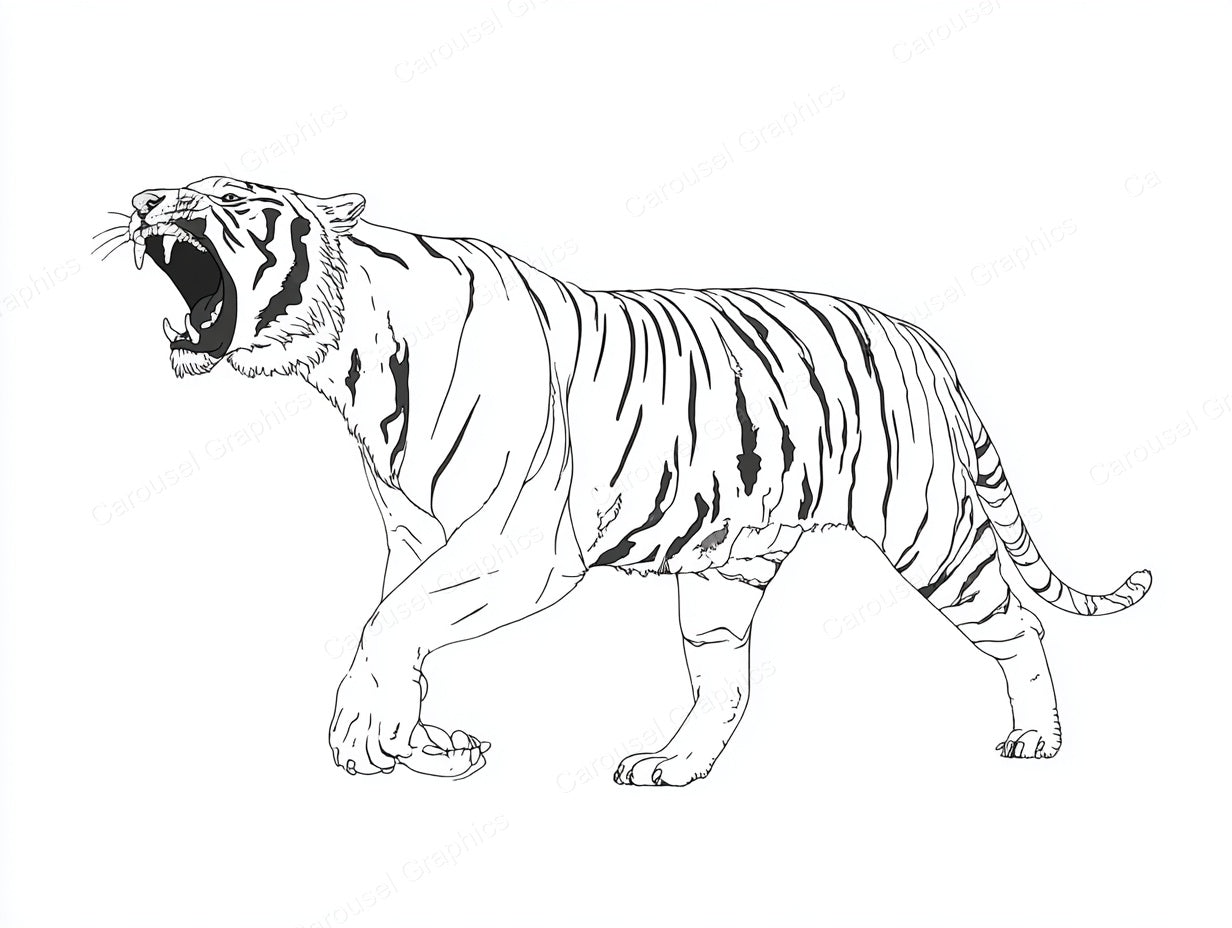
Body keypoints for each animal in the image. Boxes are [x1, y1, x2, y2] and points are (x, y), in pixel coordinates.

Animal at [120, 175, 1151, 786]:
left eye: (232, 200)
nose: (143, 200)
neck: (351, 361)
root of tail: (926, 341)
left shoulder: (518, 549)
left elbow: (391, 623)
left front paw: (368, 739)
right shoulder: (417, 536)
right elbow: (398, 623)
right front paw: (428, 743)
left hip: (931, 531)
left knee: (1017, 624)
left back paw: (1039, 738)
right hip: (726, 572)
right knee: (726, 680)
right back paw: (674, 765)